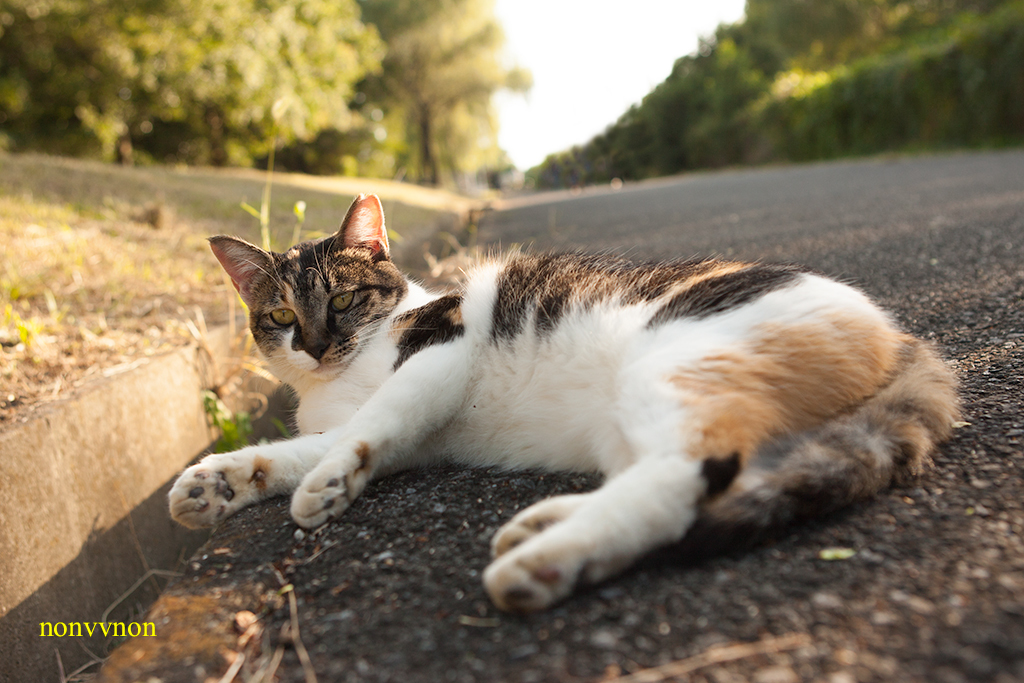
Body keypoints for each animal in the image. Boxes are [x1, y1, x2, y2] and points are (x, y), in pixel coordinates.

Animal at [167, 193, 958, 614]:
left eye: (341, 299)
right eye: (280, 316)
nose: (317, 344)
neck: (344, 374)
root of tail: (898, 333)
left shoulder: (441, 351)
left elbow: (368, 425)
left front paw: (331, 482)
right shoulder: (390, 428)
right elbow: (297, 451)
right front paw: (218, 482)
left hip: (671, 362)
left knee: (683, 477)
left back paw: (542, 563)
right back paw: (544, 529)